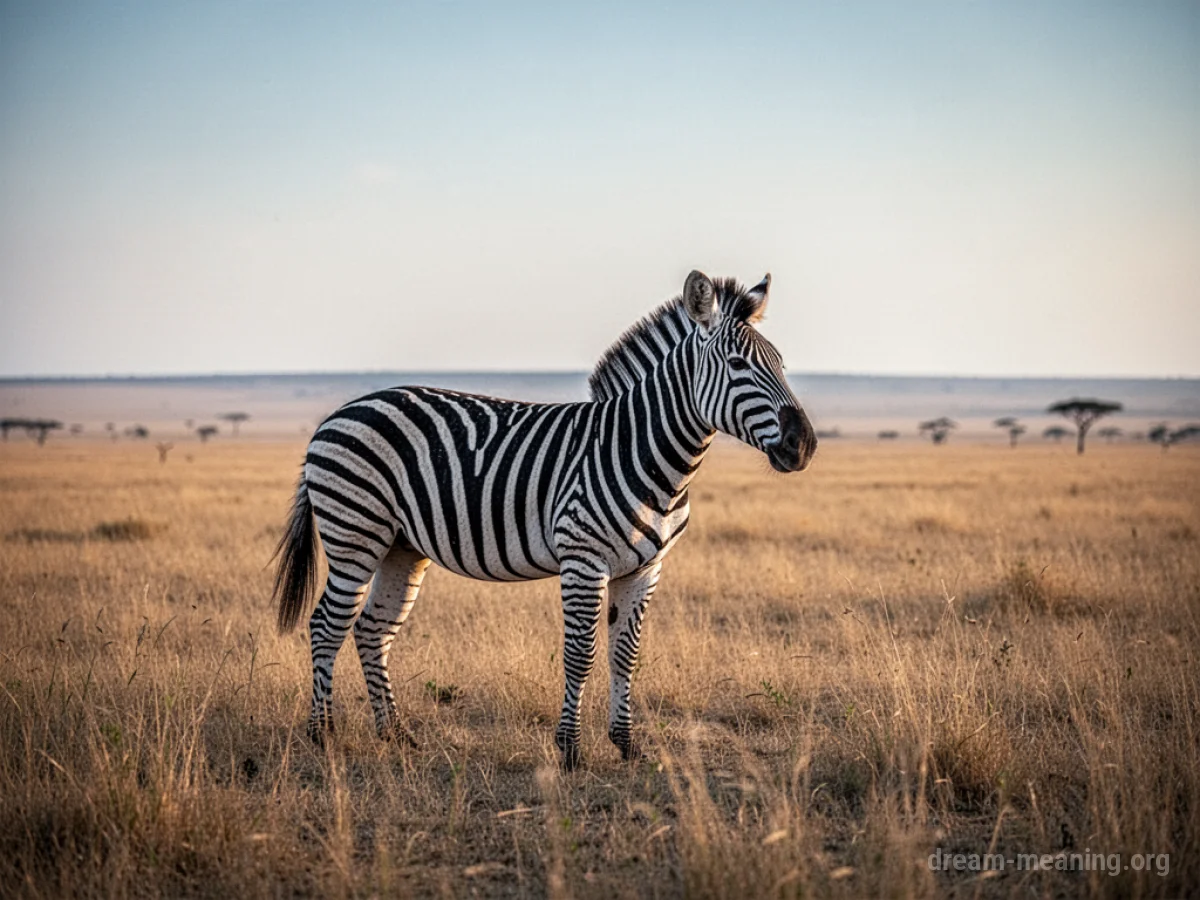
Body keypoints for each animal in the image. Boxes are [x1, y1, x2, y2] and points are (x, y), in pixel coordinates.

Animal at [273, 270, 817, 768]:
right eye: (738, 364)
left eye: (781, 365)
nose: (804, 445)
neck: (643, 454)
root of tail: (338, 413)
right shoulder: (584, 560)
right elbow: (581, 654)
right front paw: (570, 751)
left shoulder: (646, 569)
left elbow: (626, 655)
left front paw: (627, 746)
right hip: (355, 533)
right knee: (327, 625)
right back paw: (323, 736)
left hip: (401, 547)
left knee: (372, 629)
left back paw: (396, 735)